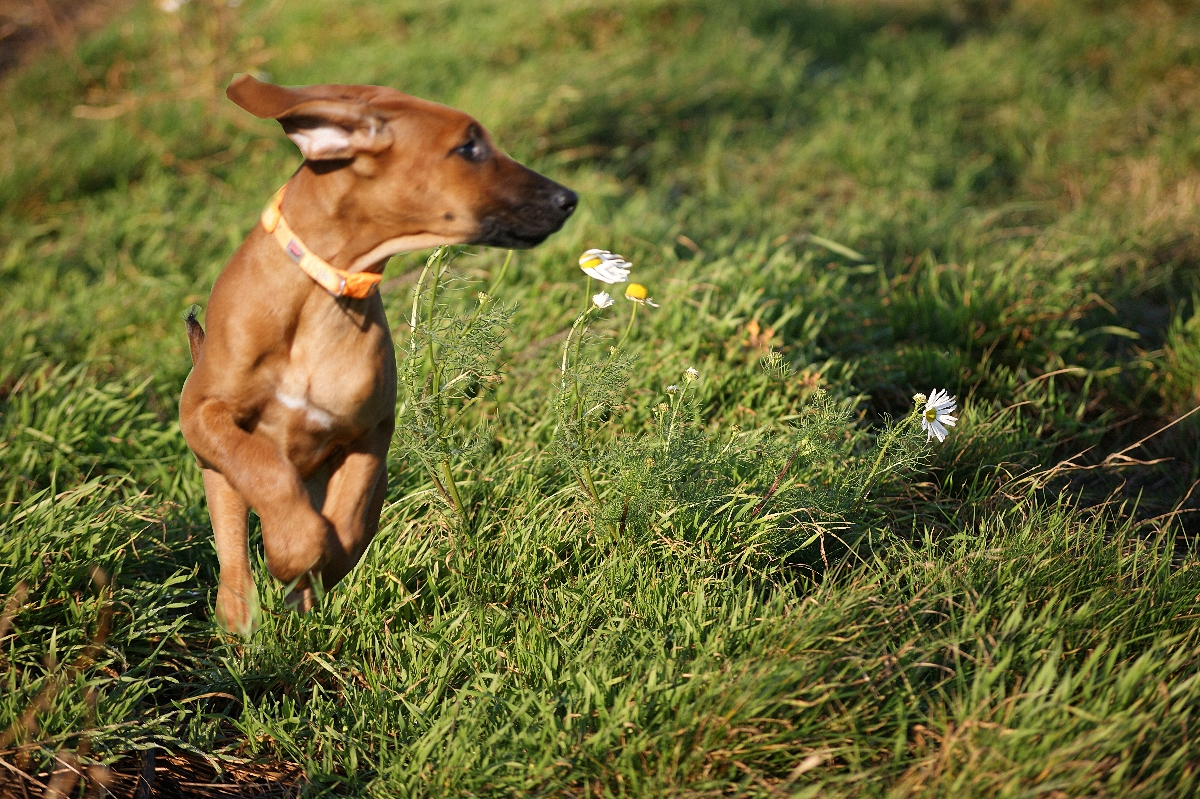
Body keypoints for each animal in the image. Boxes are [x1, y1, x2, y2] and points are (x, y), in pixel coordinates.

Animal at [180, 76, 578, 633]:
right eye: (468, 147)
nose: (569, 199)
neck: (322, 291)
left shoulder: (369, 432)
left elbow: (346, 521)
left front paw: (309, 567)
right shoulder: (200, 411)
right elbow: (265, 469)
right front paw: (291, 547)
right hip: (217, 480)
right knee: (234, 550)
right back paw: (241, 619)